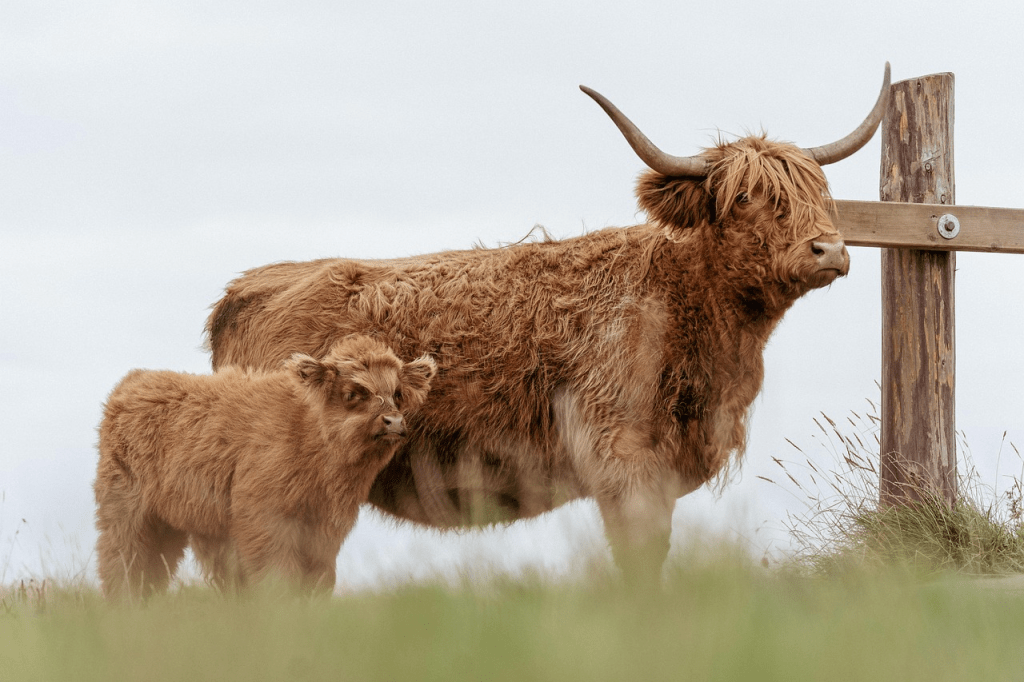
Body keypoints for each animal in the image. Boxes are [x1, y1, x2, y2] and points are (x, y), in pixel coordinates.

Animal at [94, 335, 437, 599]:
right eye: (353, 393)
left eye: (397, 393)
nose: (393, 421)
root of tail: (134, 381)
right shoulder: (266, 521)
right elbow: (278, 579)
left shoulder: (324, 530)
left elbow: (319, 581)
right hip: (127, 513)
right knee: (123, 565)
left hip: (175, 523)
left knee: (153, 572)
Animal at [204, 65, 890, 584]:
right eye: (745, 197)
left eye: (818, 191)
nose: (829, 249)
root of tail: (244, 289)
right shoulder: (624, 462)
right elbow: (640, 564)